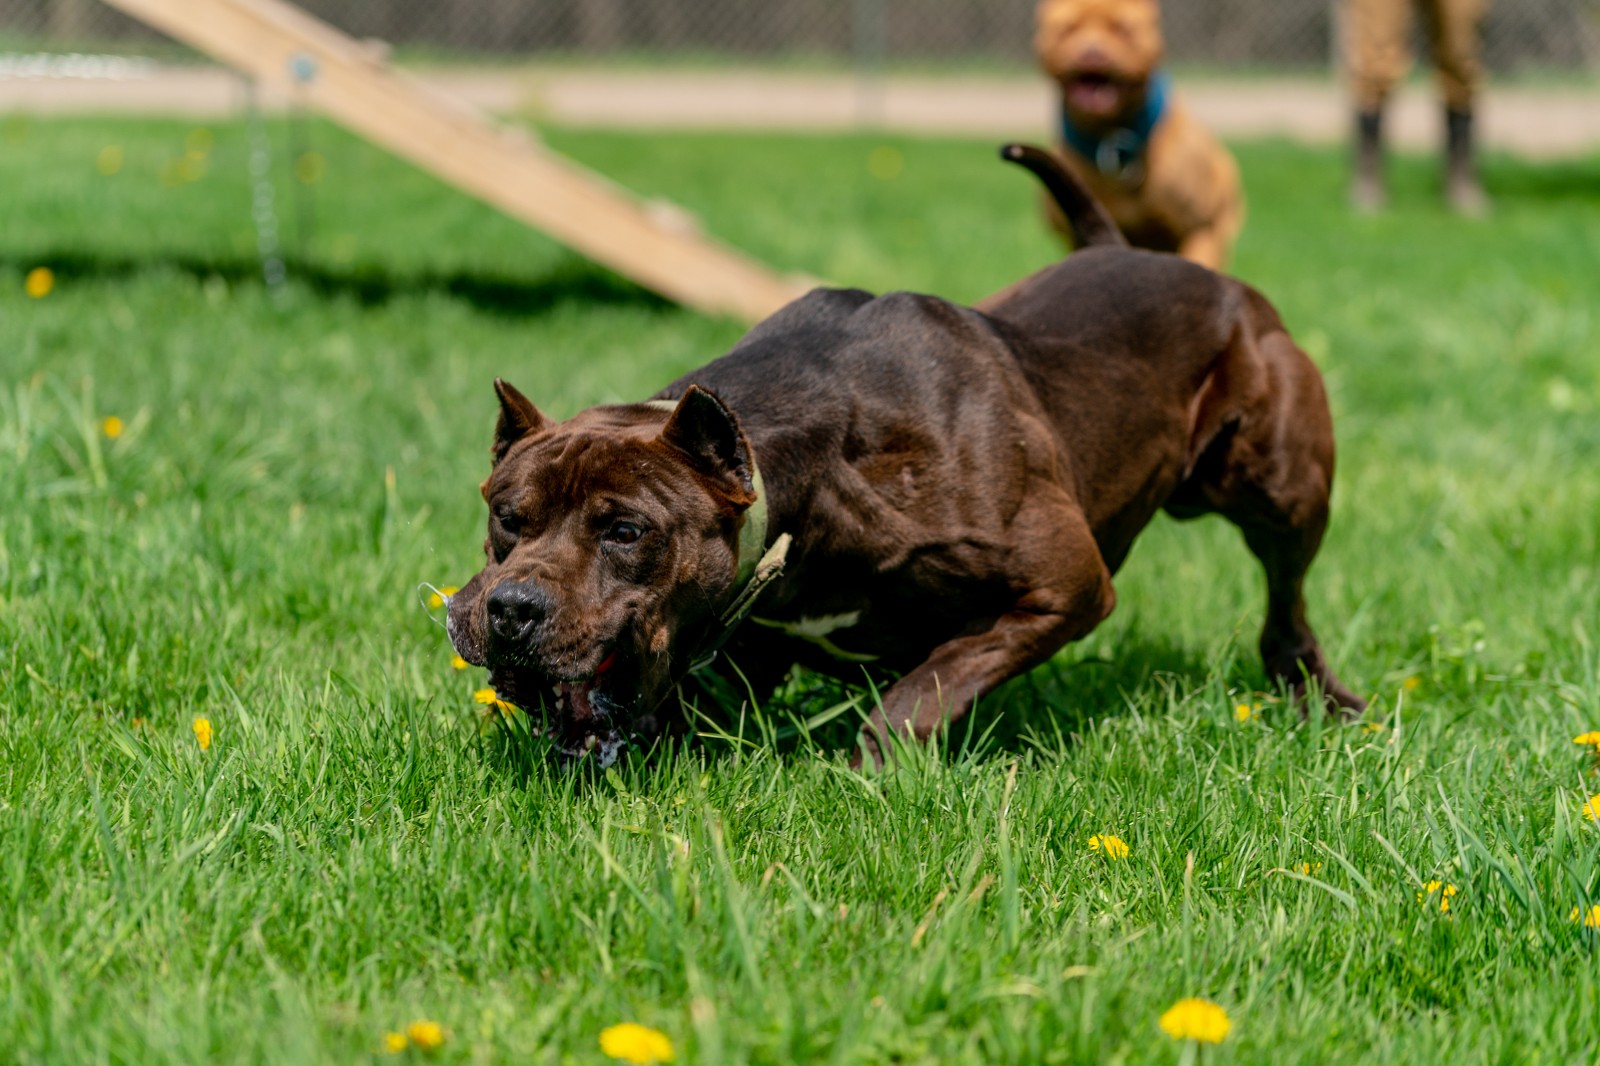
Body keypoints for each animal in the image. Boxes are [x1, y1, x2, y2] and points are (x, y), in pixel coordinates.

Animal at [448, 143, 1363, 765]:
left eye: (626, 531)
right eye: (508, 518)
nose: (511, 608)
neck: (814, 478)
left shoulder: (1063, 591)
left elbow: (925, 687)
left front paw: (870, 767)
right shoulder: (750, 642)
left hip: (1284, 488)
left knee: (1287, 600)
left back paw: (1319, 696)